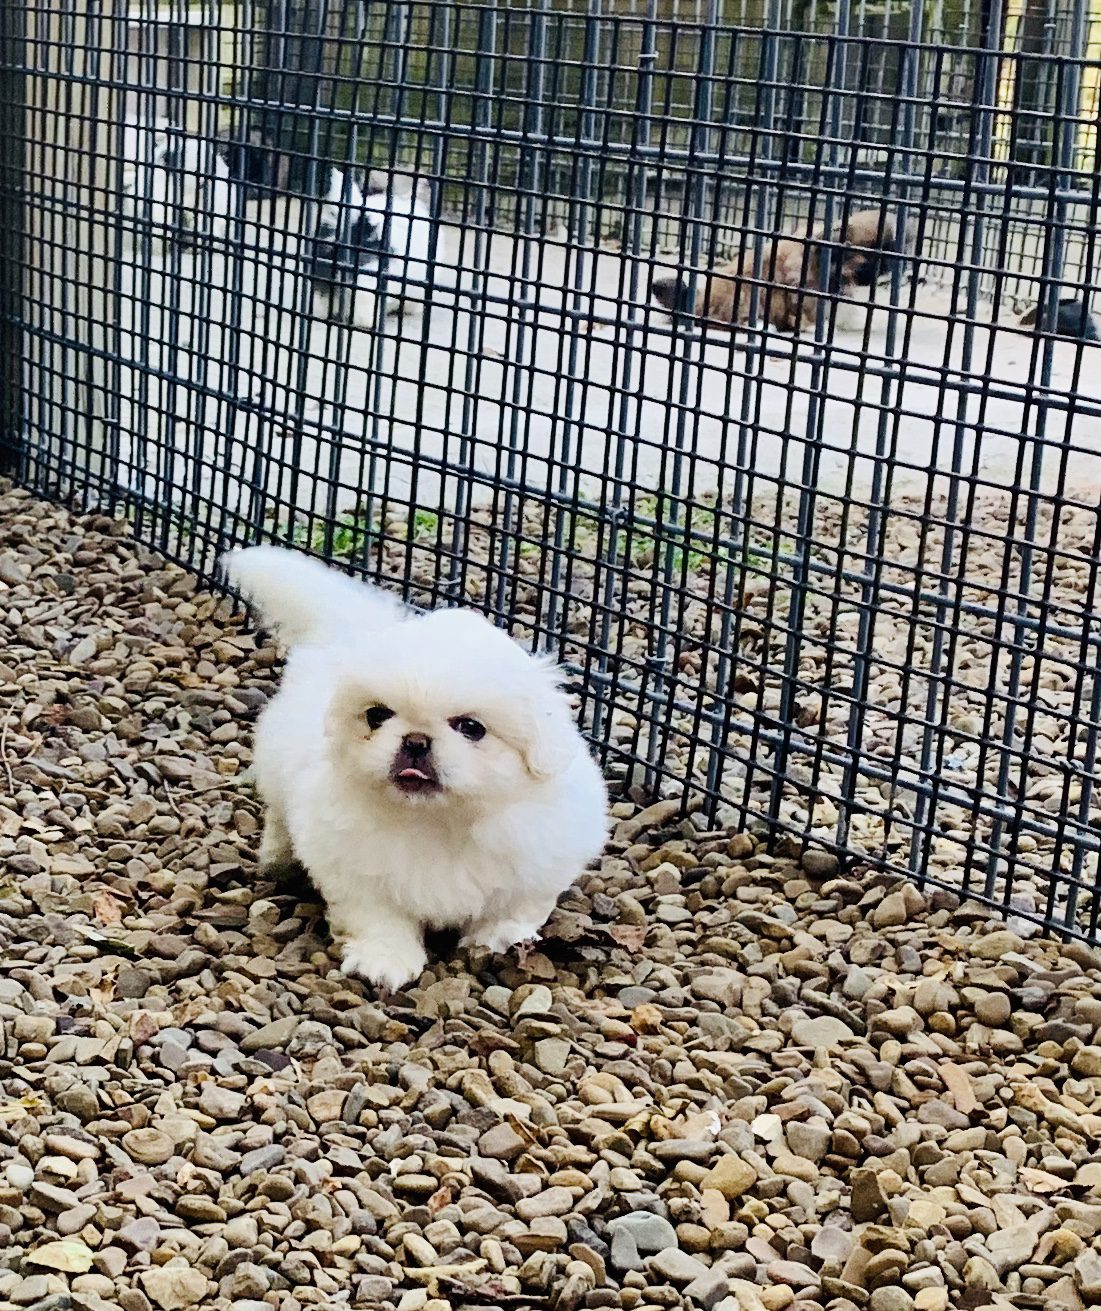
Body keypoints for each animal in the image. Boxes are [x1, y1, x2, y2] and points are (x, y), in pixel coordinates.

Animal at [218, 547, 605, 985]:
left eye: (471, 728)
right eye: (376, 716)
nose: (416, 741)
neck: (438, 823)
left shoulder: (539, 864)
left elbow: (515, 909)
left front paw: (499, 940)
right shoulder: (358, 874)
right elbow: (380, 919)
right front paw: (384, 961)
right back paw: (277, 858)